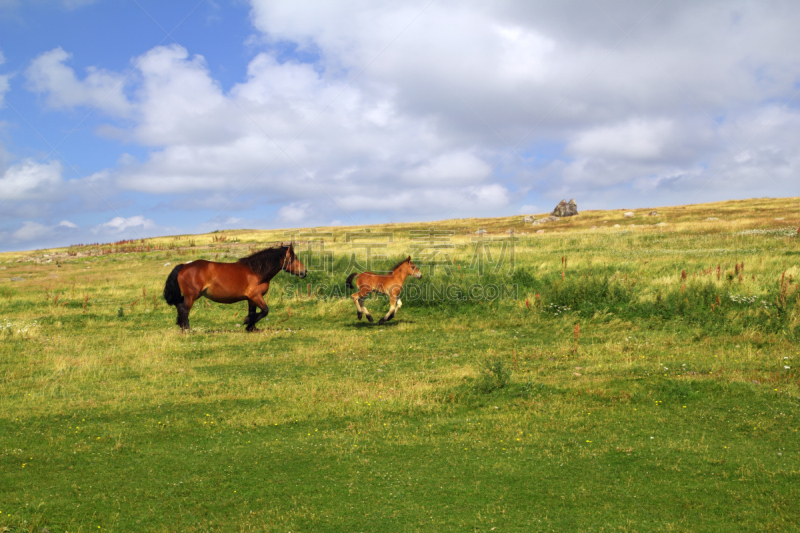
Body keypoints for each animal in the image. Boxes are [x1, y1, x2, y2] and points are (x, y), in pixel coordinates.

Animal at [163, 244, 306, 328]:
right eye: (294, 258)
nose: (304, 272)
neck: (256, 272)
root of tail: (184, 266)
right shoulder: (256, 296)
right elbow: (265, 311)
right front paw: (247, 322)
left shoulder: (251, 299)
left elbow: (253, 312)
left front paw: (251, 328)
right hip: (191, 296)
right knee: (184, 310)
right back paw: (187, 329)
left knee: (179, 307)